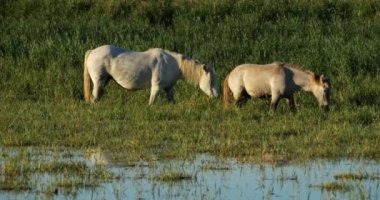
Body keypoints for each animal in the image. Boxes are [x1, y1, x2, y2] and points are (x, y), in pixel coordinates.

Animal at [83, 45, 220, 104]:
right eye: (211, 80)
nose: (217, 96)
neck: (173, 63)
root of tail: (92, 51)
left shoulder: (169, 88)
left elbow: (172, 101)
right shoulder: (156, 87)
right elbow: (151, 103)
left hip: (104, 81)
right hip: (98, 81)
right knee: (94, 98)